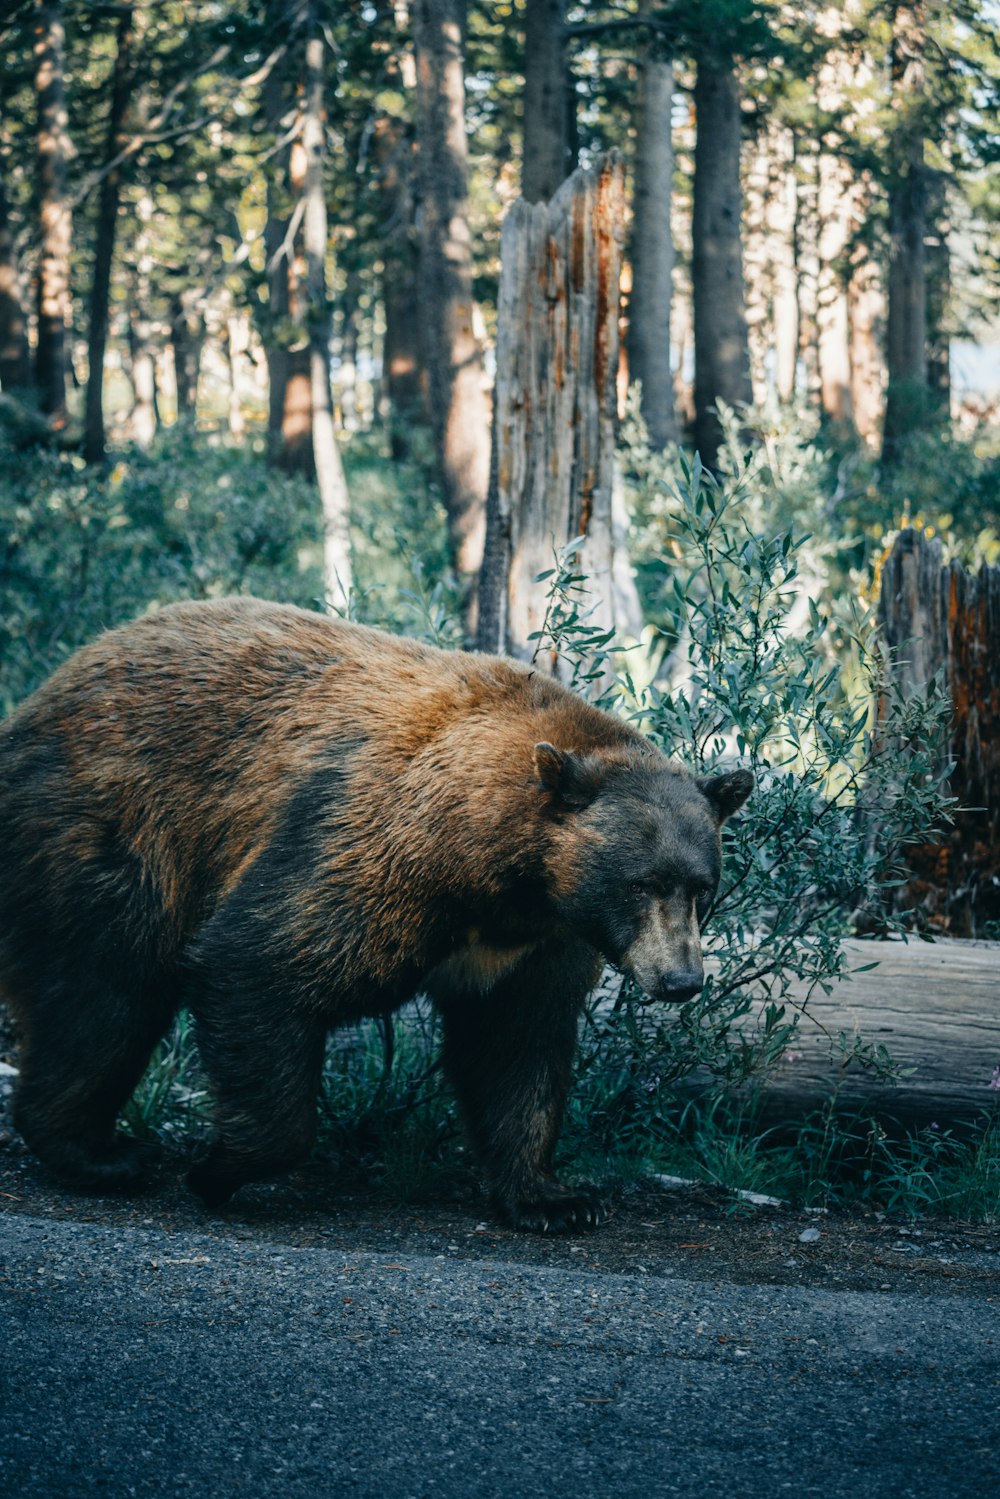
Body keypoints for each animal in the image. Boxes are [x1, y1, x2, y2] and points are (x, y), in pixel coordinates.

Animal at [0, 593, 749, 1229]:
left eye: (702, 886)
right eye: (641, 884)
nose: (681, 979)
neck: (499, 872)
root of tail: (45, 691)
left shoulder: (536, 944)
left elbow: (517, 1046)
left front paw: (552, 1197)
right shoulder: (375, 849)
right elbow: (262, 959)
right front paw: (218, 1168)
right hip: (114, 829)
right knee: (105, 992)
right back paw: (99, 1154)